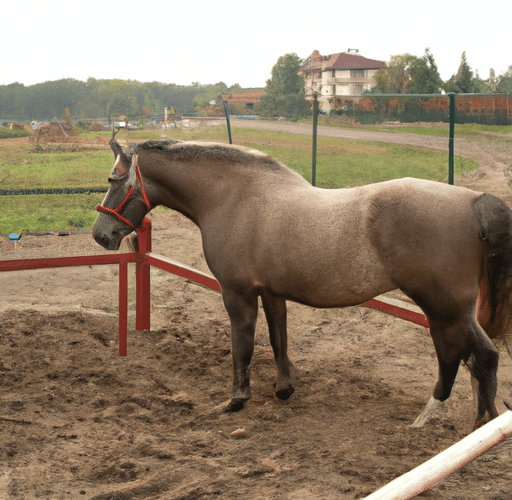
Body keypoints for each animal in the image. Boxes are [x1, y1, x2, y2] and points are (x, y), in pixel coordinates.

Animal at [92, 138, 512, 430]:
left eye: (114, 180)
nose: (101, 234)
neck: (234, 199)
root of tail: (475, 200)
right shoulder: (272, 292)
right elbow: (278, 339)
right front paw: (283, 389)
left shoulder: (238, 293)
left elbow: (242, 345)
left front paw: (236, 399)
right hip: (449, 311)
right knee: (470, 356)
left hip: (443, 309)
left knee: (468, 355)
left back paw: (454, 420)